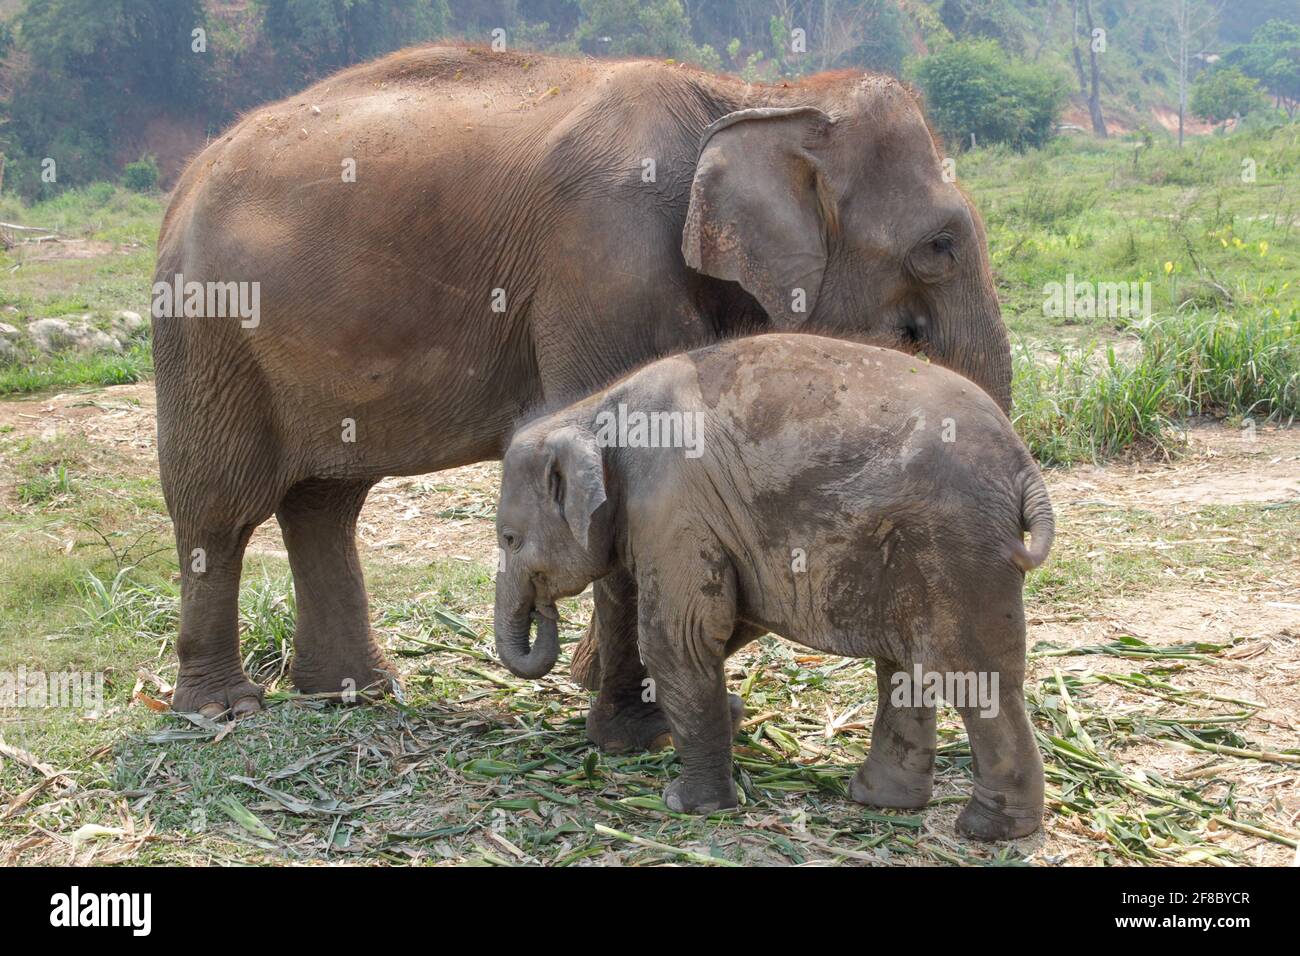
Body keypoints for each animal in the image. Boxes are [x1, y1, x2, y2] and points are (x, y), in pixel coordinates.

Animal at [149, 41, 1003, 743]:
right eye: (938, 246)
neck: (755, 95)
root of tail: (185, 179)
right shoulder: (606, 261)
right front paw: (643, 724)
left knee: (326, 501)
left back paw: (356, 692)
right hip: (209, 330)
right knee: (218, 507)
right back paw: (224, 710)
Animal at [491, 332, 1050, 842]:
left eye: (509, 539)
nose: (544, 610)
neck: (593, 409)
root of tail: (1025, 470)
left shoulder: (673, 508)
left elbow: (683, 636)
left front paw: (689, 806)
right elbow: (722, 620)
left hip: (957, 549)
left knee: (974, 676)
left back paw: (988, 830)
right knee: (905, 666)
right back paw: (879, 800)